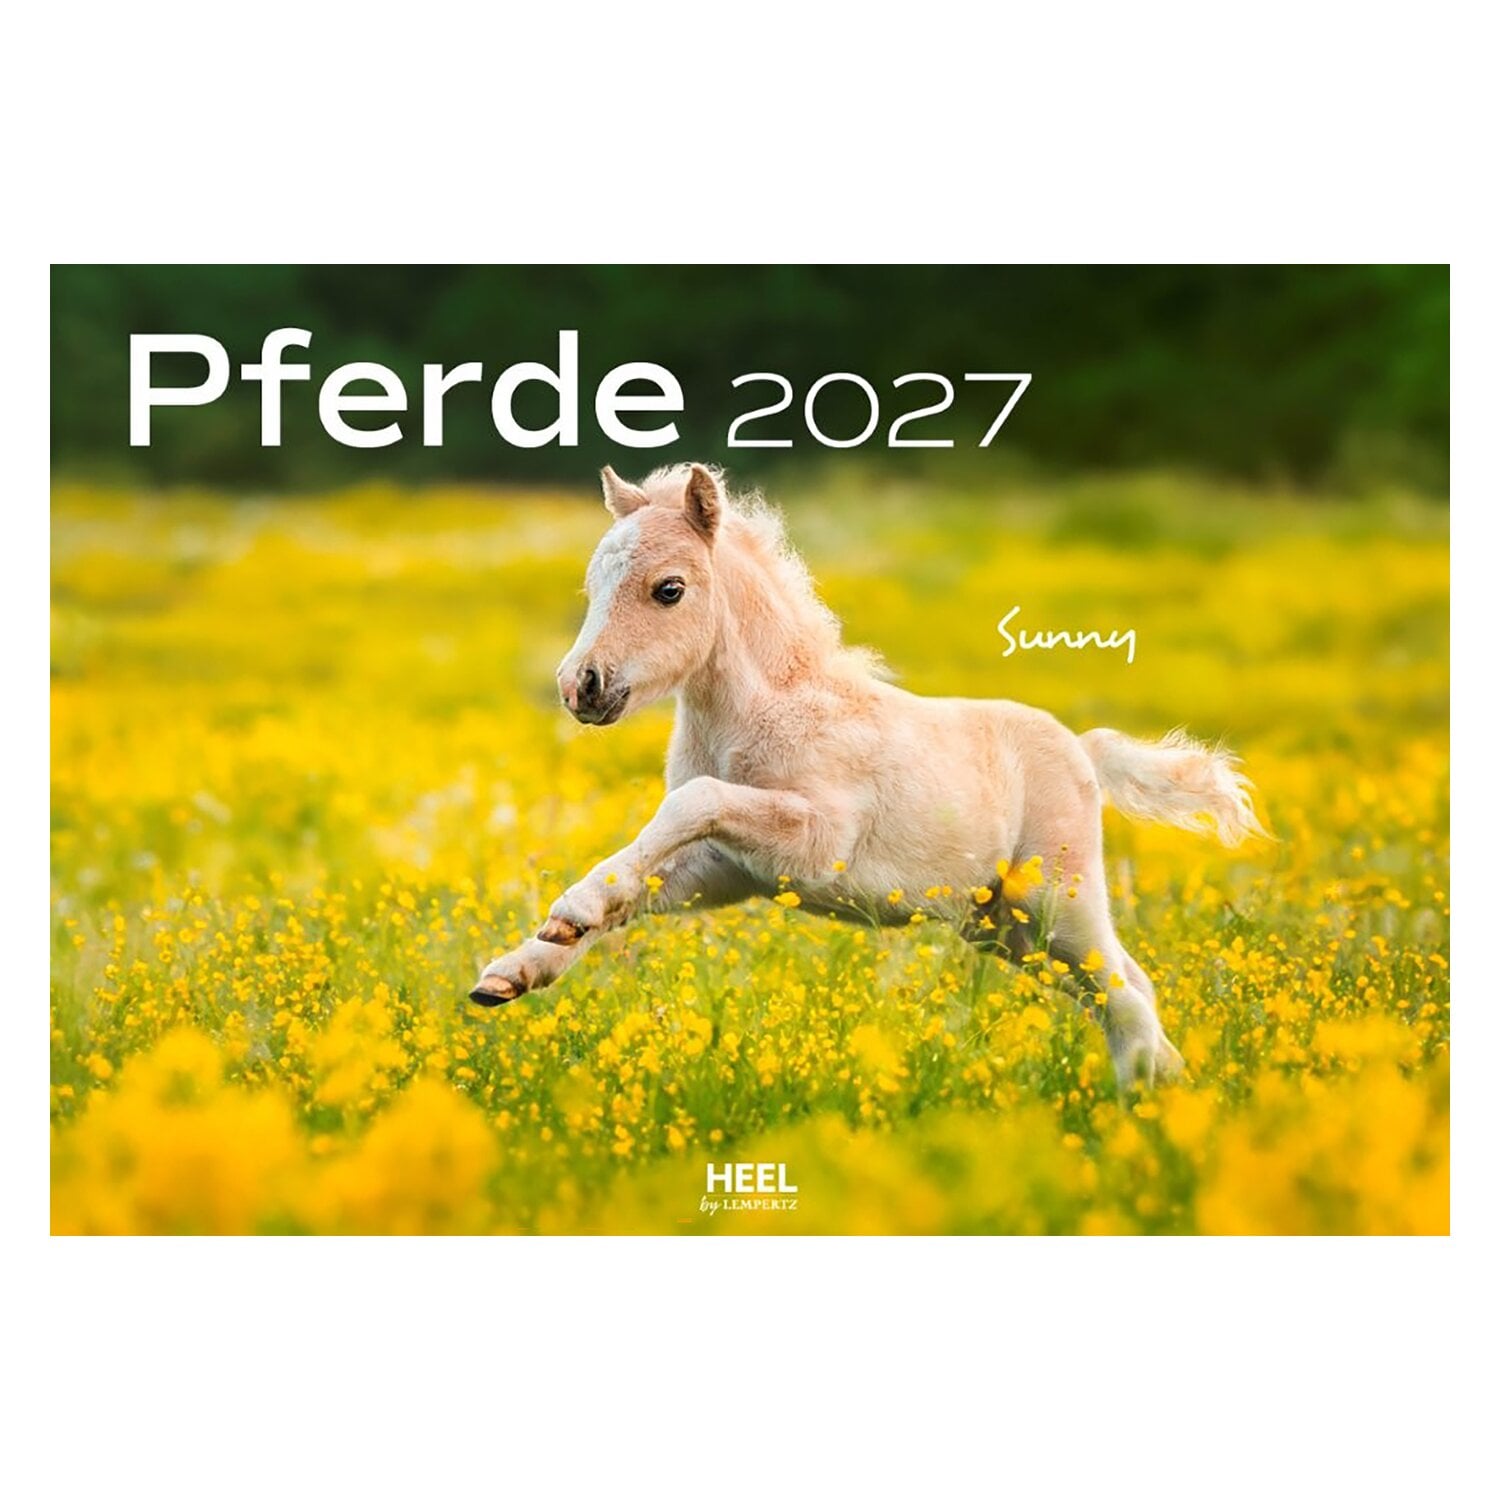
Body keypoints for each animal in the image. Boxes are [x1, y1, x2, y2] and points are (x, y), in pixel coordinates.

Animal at [469, 463, 1265, 1089]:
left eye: (669, 589)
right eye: (592, 584)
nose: (582, 687)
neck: (768, 710)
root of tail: (1083, 750)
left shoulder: (817, 844)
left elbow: (692, 800)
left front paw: (569, 911)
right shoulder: (728, 869)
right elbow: (639, 880)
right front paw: (520, 967)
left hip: (1054, 903)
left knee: (1125, 991)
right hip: (1005, 930)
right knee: (1120, 990)